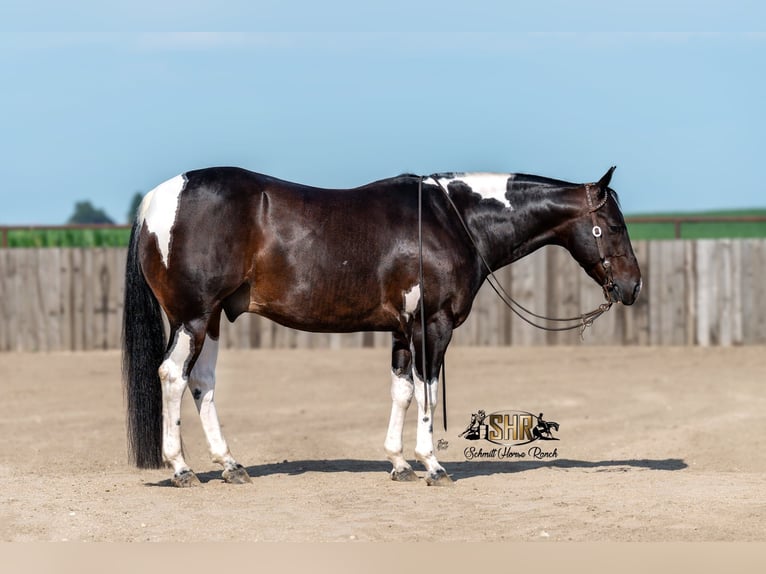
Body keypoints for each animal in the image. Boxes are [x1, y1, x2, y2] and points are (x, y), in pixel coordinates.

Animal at [122, 166, 641, 487]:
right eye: (615, 226)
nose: (633, 286)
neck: (452, 220)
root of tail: (157, 201)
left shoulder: (401, 331)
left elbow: (402, 392)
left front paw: (398, 463)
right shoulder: (433, 327)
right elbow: (427, 392)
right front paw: (432, 464)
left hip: (210, 318)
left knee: (203, 382)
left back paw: (230, 465)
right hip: (192, 317)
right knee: (173, 376)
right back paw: (182, 469)